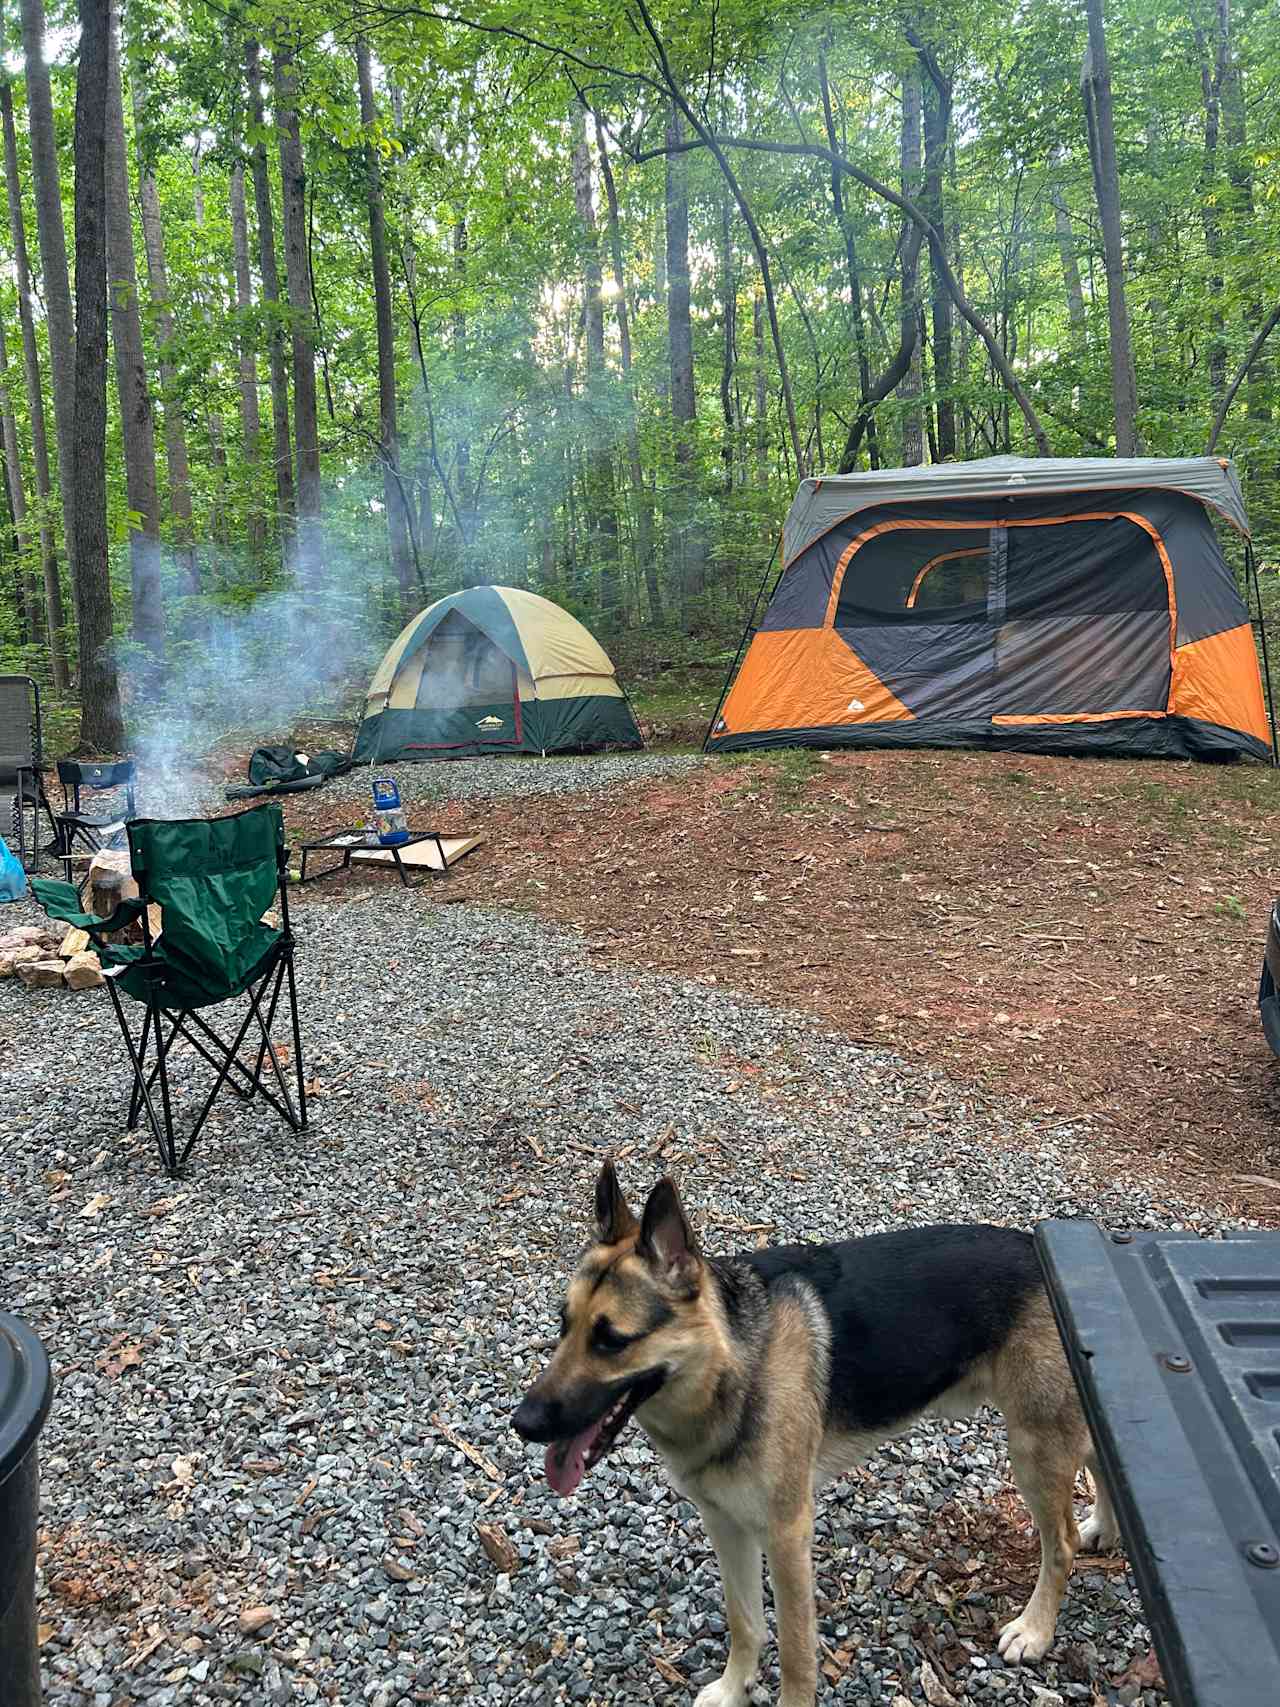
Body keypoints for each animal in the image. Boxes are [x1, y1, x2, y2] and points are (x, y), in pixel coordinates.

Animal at [512, 1160, 1119, 1707]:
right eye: (564, 1326)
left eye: (612, 1340)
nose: (523, 1424)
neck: (734, 1365)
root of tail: (1051, 1259)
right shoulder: (726, 1524)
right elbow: (744, 1621)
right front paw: (734, 1689)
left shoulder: (785, 1537)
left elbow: (796, 1654)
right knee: (1098, 1460)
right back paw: (1104, 1527)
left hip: (1033, 1449)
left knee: (1060, 1543)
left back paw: (1035, 1629)